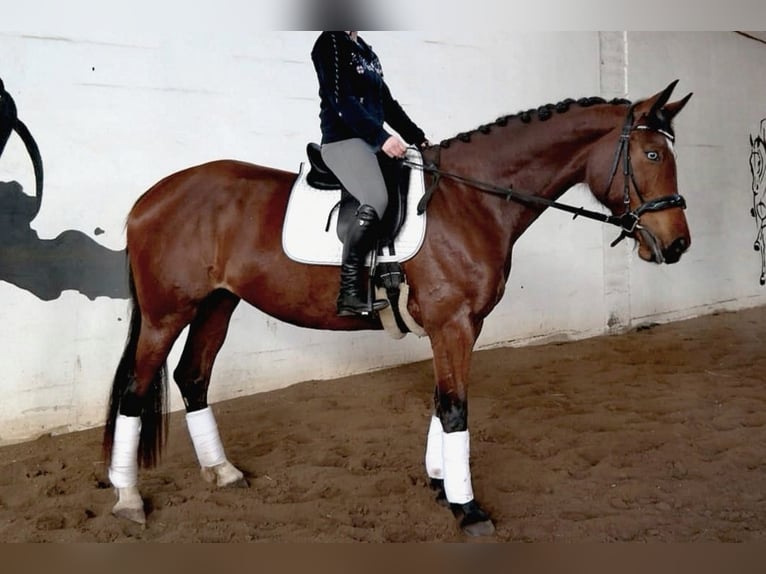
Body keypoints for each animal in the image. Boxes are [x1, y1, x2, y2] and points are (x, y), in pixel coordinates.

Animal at [102, 80, 692, 536]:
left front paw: (440, 484)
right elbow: (455, 409)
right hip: (167, 314)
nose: (677, 245)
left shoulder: (461, 327)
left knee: (193, 377)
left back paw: (223, 472)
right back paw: (128, 500)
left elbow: (440, 401)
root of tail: (150, 198)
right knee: (135, 390)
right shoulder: (453, 325)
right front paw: (467, 509)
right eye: (653, 155)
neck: (469, 201)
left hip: (218, 304)